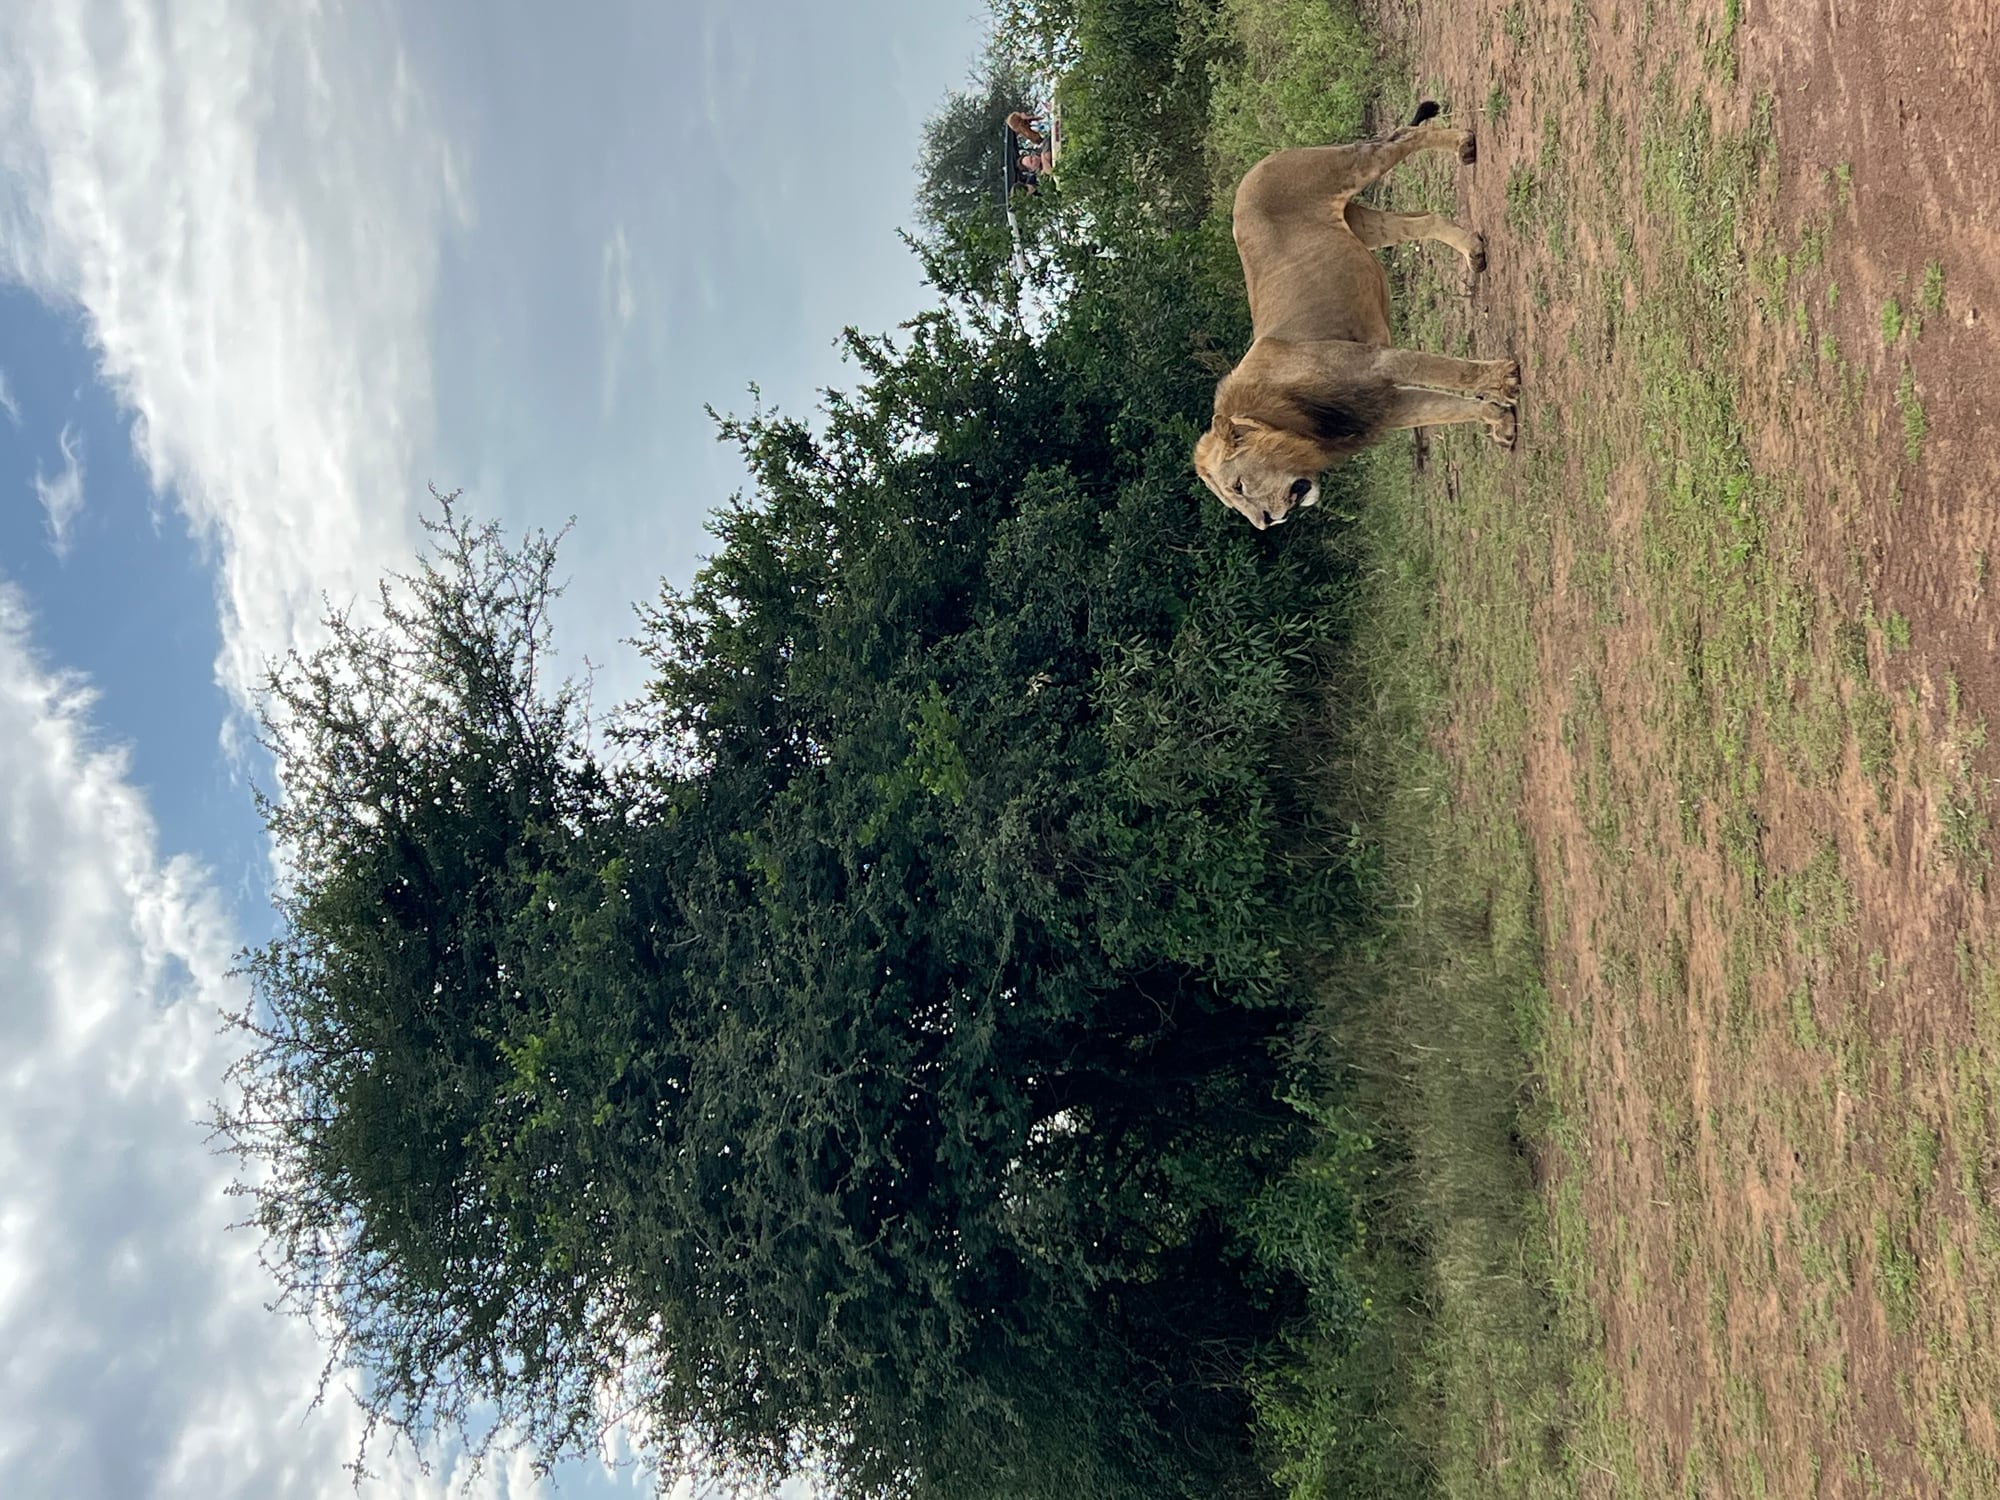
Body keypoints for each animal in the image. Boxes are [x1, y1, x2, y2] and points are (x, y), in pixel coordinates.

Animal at [1194, 102, 1520, 529]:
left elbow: (1450, 372)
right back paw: (1473, 250)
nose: (1267, 522)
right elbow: (1450, 409)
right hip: (1362, 224)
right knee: (1424, 218)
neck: (1286, 417)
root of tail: (1260, 163)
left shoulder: (1376, 362)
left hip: (1351, 169)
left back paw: (1464, 143)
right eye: (1236, 504)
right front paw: (1501, 423)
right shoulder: (1383, 405)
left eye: (1239, 486)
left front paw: (1504, 379)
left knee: (1403, 137)